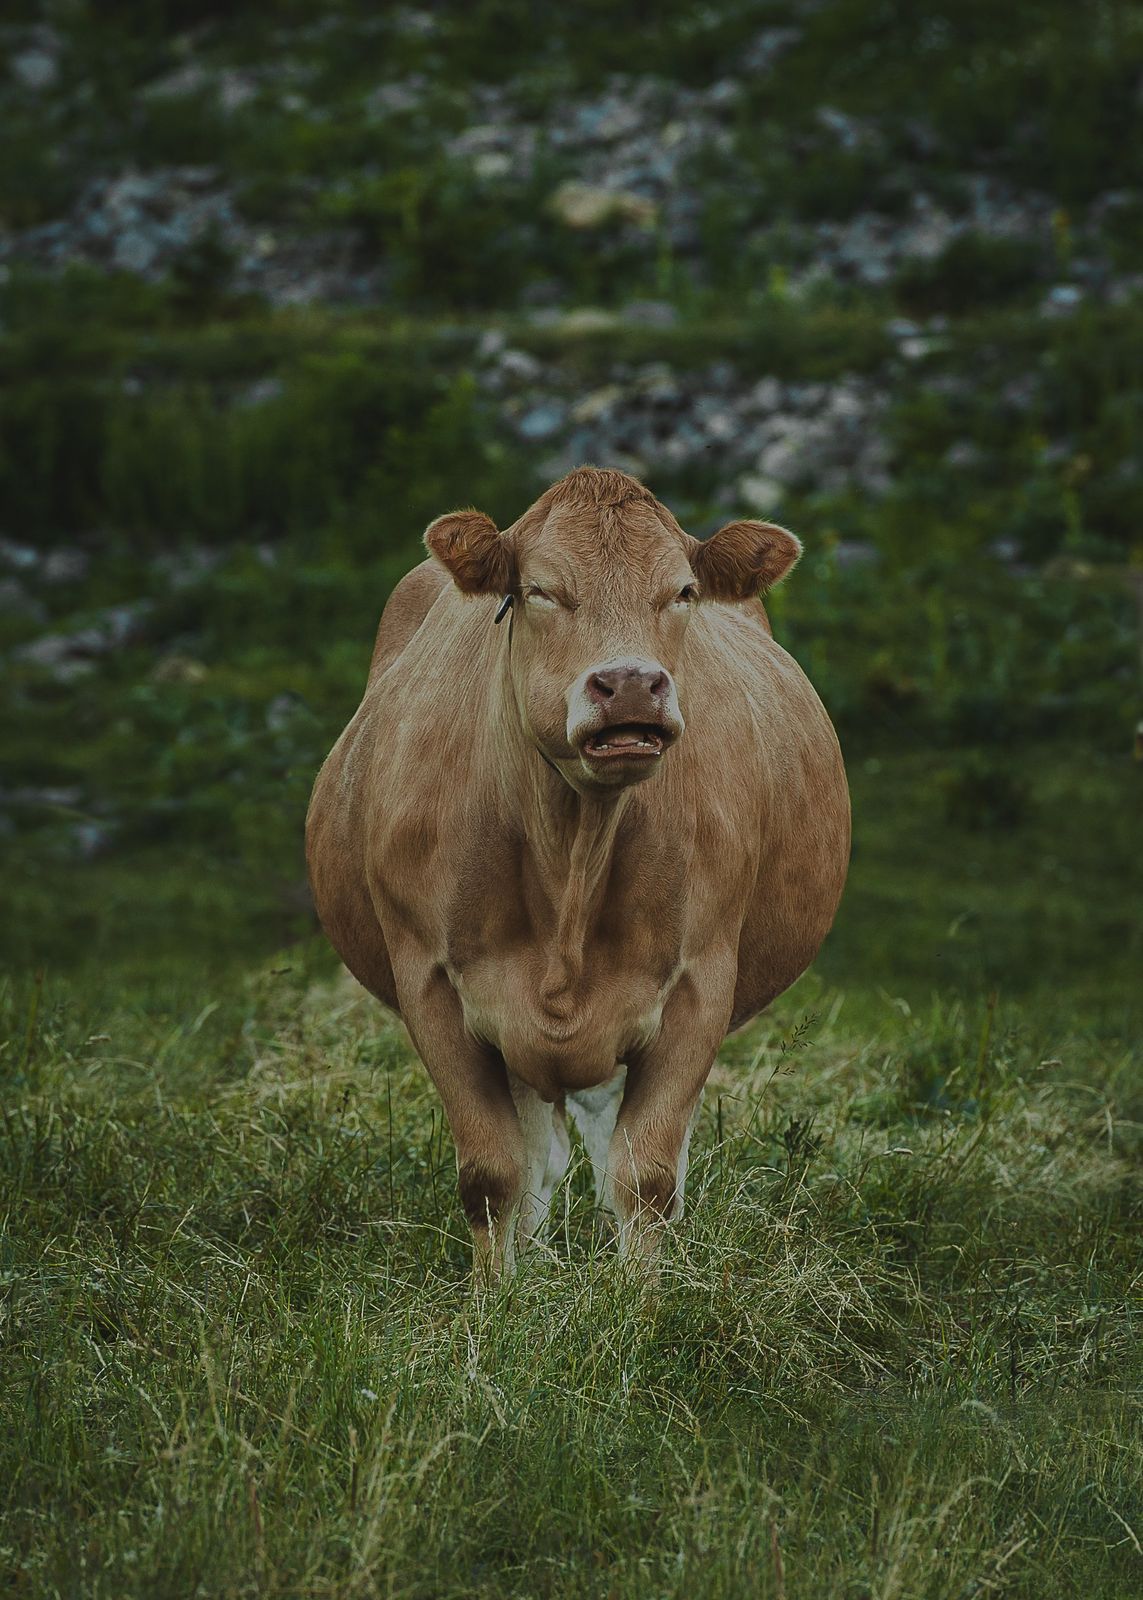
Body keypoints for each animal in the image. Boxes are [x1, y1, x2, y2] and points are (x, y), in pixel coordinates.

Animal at [306, 466, 849, 1279]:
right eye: (539, 591)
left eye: (682, 591)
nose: (629, 683)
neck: (571, 858)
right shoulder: (427, 979)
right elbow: (493, 1174)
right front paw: (495, 1299)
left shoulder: (700, 982)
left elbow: (646, 1176)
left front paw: (640, 1300)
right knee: (539, 1161)